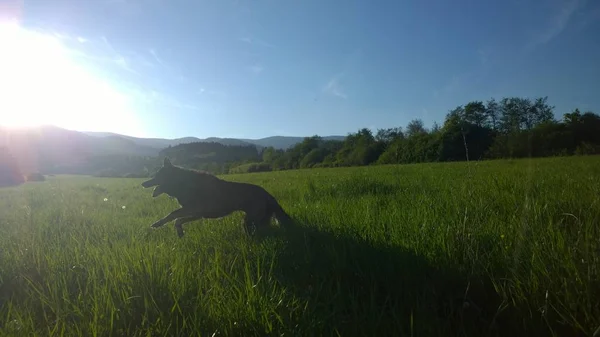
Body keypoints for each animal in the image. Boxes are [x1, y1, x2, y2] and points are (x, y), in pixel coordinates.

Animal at [141, 157, 290, 236]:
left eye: (157, 175)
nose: (143, 183)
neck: (182, 183)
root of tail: (268, 195)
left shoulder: (194, 209)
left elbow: (172, 215)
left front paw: (158, 224)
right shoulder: (197, 214)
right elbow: (178, 219)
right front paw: (179, 231)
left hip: (248, 221)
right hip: (257, 221)